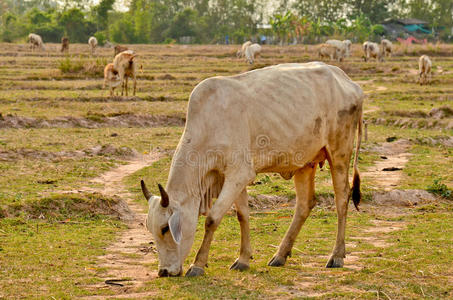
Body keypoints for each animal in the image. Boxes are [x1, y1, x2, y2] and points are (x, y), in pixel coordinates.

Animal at [141, 62, 364, 278]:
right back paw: (280, 255)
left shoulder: (239, 174)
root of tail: (349, 83)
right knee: (304, 205)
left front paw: (197, 265)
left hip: (339, 153)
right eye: (151, 229)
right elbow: (243, 215)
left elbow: (212, 218)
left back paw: (336, 256)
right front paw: (243, 259)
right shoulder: (232, 178)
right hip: (304, 162)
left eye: (164, 228)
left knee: (342, 199)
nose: (163, 272)